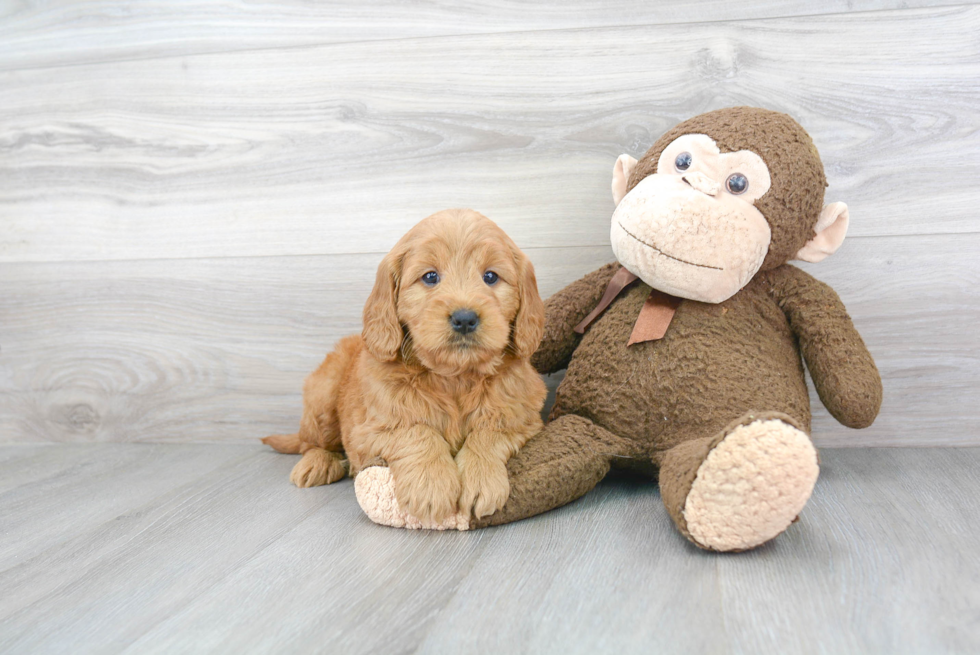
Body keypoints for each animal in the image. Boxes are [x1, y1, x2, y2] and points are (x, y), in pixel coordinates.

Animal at [264, 210, 548, 524]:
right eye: (430, 277)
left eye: (490, 277)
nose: (464, 318)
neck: (454, 377)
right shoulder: (369, 429)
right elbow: (415, 430)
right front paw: (431, 486)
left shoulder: (524, 418)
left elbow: (490, 431)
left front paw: (481, 479)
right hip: (323, 396)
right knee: (311, 443)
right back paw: (318, 464)